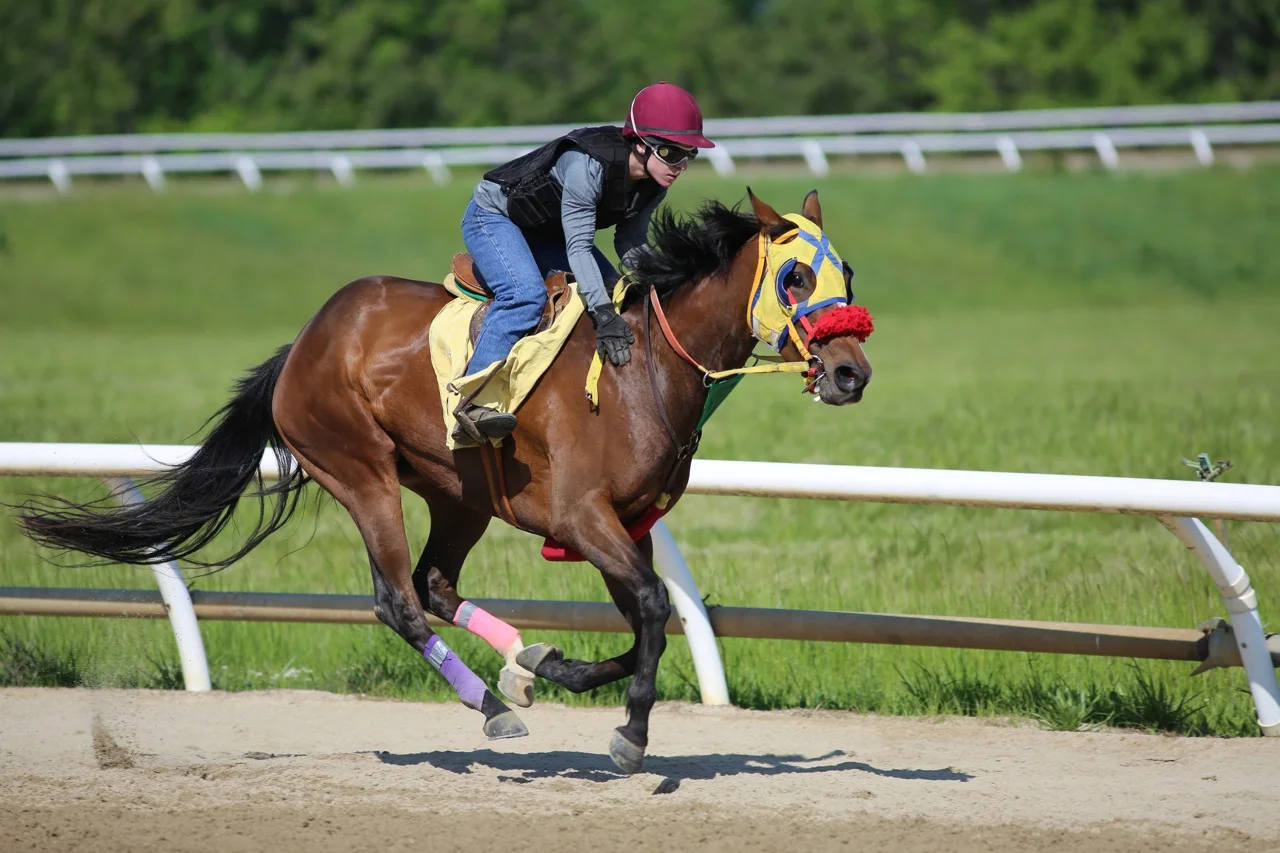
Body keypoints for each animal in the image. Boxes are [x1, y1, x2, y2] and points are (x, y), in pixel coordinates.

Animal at [16, 189, 873, 774]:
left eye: (849, 271)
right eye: (796, 276)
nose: (850, 372)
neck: (646, 372)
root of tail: (305, 340)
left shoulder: (621, 525)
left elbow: (646, 619)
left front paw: (552, 669)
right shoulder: (581, 517)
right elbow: (656, 611)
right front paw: (629, 733)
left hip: (459, 493)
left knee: (433, 583)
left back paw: (519, 669)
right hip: (358, 468)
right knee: (397, 597)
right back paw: (491, 706)